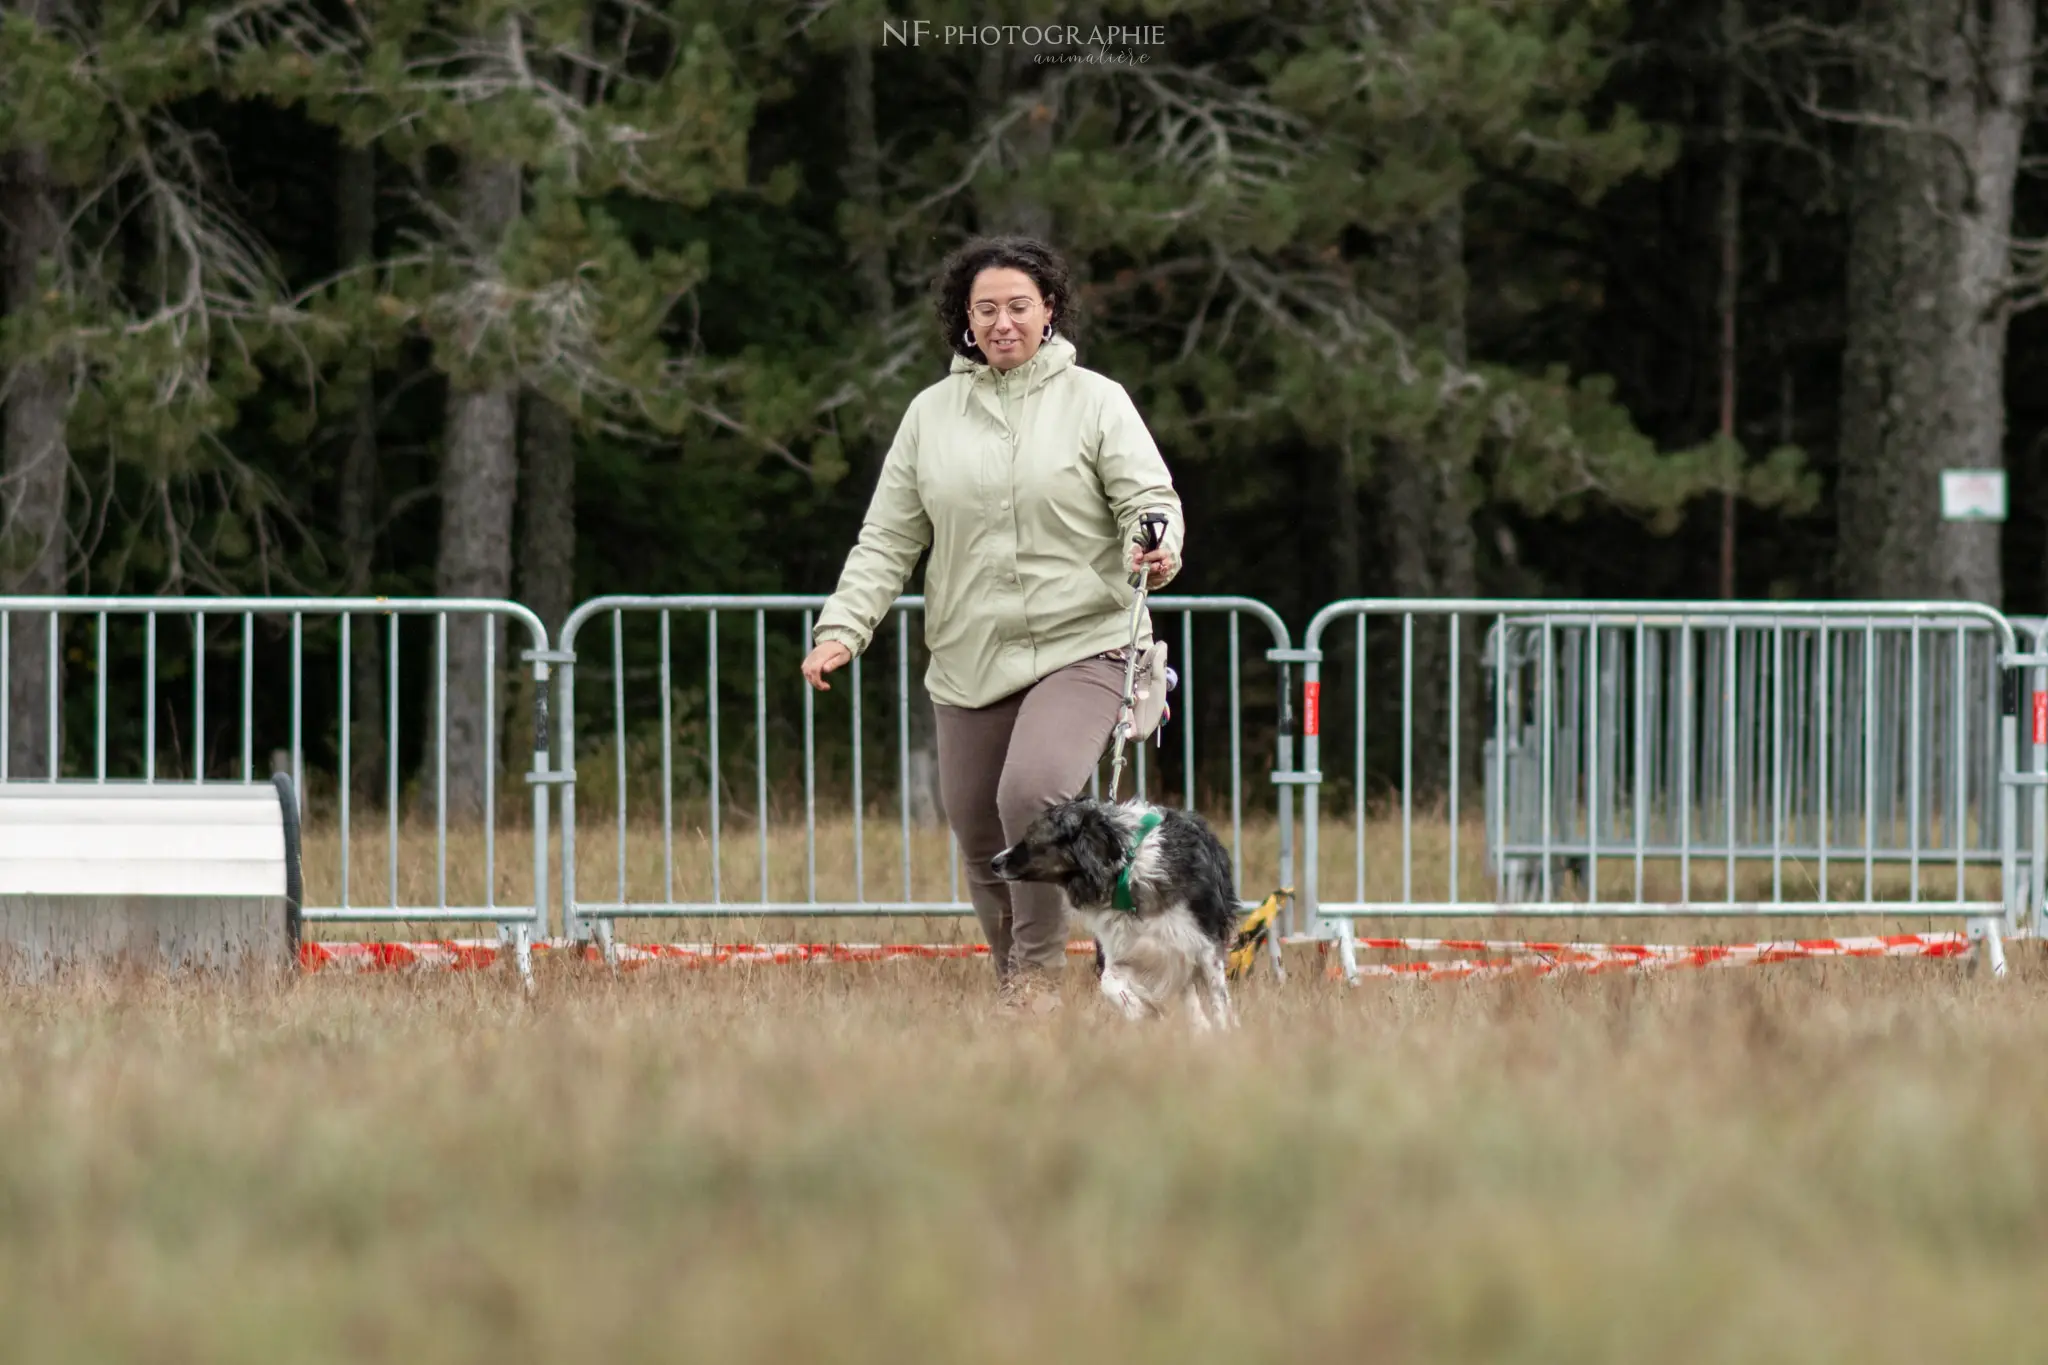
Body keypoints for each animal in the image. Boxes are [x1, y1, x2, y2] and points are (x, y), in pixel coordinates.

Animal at [987, 794, 1236, 1031]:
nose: (994, 862)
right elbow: (1109, 982)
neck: (1126, 870)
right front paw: (1141, 1012)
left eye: (1031, 836)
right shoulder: (1127, 949)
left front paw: (1224, 1032)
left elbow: (1218, 998)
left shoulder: (1203, 944)